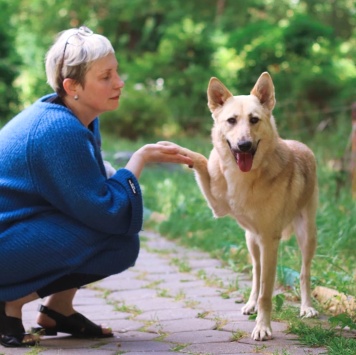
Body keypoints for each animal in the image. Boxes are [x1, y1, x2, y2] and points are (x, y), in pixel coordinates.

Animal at [163, 72, 318, 342]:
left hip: (306, 235)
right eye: (231, 120)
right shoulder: (218, 207)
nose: (244, 145)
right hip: (251, 241)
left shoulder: (270, 241)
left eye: (254, 120)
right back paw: (251, 303)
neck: (248, 177)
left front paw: (263, 327)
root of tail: (303, 145)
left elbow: (268, 293)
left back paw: (306, 307)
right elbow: (201, 159)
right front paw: (181, 152)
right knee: (256, 273)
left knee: (303, 273)